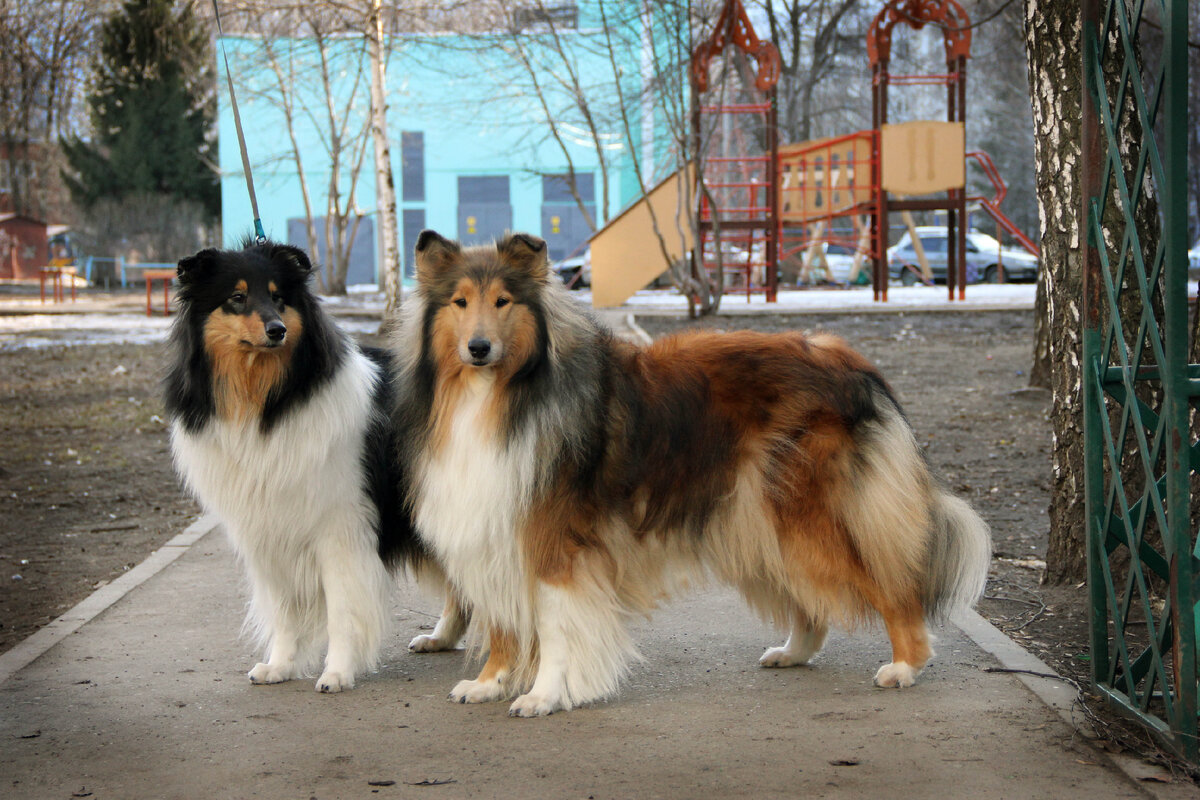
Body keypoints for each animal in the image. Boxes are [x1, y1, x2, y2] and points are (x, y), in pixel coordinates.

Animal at [166, 239, 465, 695]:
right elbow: (284, 611)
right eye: (236, 297)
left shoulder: (340, 529)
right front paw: (279, 666)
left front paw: (337, 673)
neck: (267, 402)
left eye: (278, 297)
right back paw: (440, 639)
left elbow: (341, 609)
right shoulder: (270, 533)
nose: (277, 330)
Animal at [393, 231, 993, 719]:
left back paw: (906, 664)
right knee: (814, 604)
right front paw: (490, 682)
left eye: (503, 301)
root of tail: (849, 359)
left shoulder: (555, 544)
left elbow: (558, 626)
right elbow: (502, 622)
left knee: (894, 585)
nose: (478, 348)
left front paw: (544, 694)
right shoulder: (493, 529)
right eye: (459, 302)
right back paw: (793, 652)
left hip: (811, 516)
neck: (500, 396)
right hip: (762, 518)